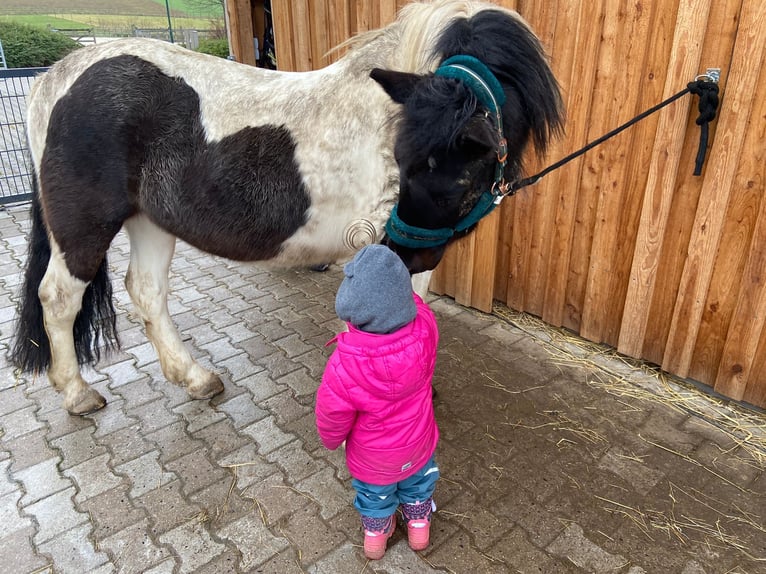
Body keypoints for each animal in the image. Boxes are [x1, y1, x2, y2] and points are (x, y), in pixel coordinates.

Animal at [10, 0, 564, 414]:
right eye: (406, 161)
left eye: (450, 170)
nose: (408, 253)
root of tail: (52, 77)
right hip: (84, 228)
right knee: (58, 297)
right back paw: (77, 393)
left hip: (149, 221)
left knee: (146, 293)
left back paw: (195, 378)